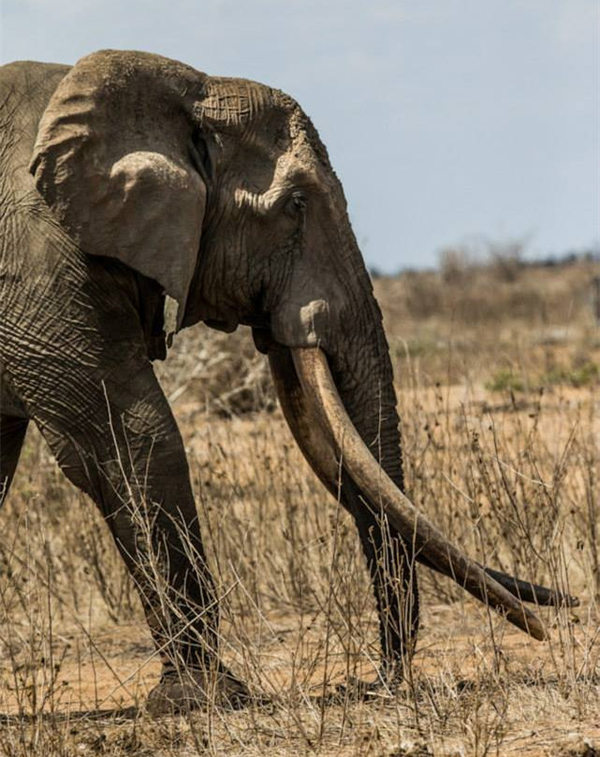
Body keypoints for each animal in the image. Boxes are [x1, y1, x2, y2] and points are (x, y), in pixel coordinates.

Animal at [0, 50, 576, 712]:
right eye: (297, 205)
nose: (379, 682)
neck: (171, 91)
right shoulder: (37, 266)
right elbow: (137, 436)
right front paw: (206, 700)